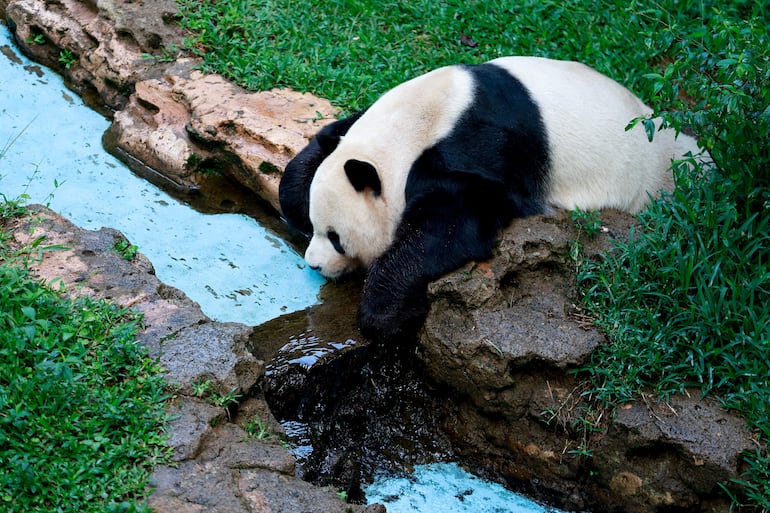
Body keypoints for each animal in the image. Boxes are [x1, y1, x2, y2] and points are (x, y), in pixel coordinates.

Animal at [279, 56, 704, 342]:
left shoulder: (479, 153)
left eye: (336, 237)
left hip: (652, 174)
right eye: (318, 228)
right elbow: (320, 149)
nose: (313, 265)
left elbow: (453, 227)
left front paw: (386, 311)